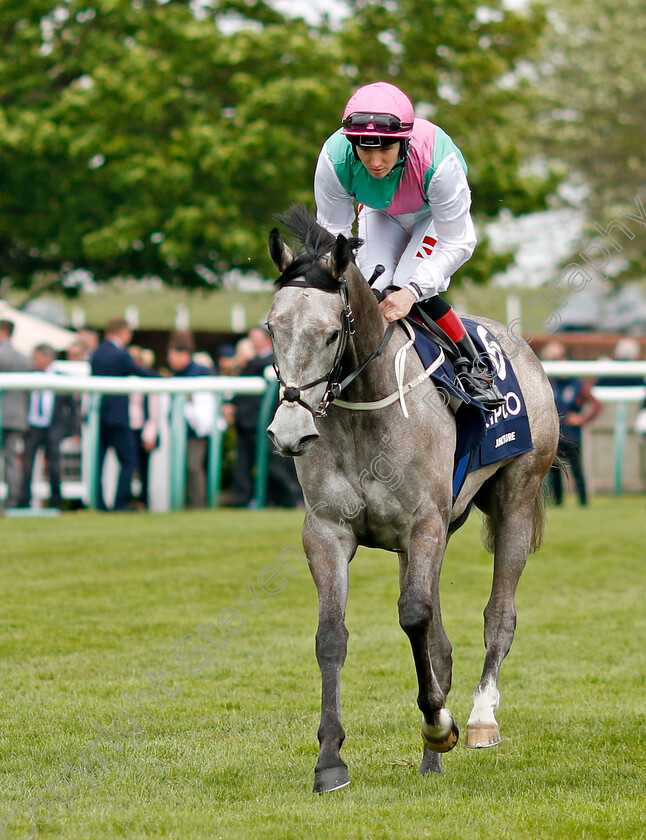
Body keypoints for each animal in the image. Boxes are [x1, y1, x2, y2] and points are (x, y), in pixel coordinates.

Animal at [266, 207, 560, 792]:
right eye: (271, 328)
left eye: (330, 334)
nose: (289, 432)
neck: (364, 410)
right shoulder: (328, 530)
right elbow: (332, 636)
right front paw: (330, 760)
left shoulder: (424, 522)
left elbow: (414, 617)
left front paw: (439, 723)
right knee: (441, 644)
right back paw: (432, 758)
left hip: (516, 499)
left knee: (499, 614)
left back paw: (478, 720)